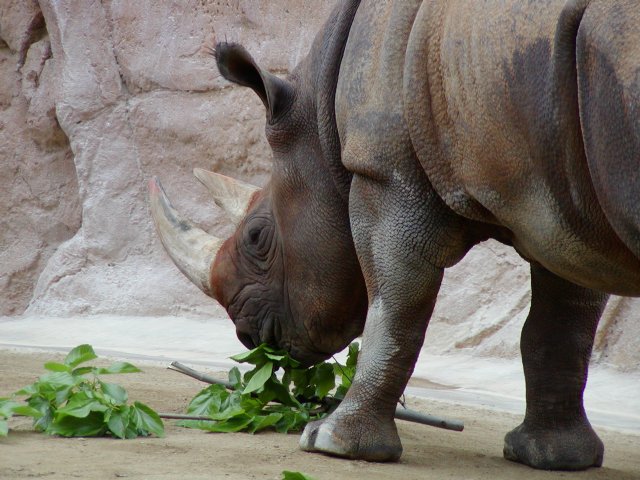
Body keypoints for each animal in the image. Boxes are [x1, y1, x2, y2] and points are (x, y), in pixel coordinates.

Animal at [148, 0, 640, 471]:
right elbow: (562, 323)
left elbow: (395, 306)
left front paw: (332, 441)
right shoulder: (564, 202)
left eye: (255, 236)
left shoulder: (385, 171)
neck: (321, 124)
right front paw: (552, 457)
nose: (248, 339)